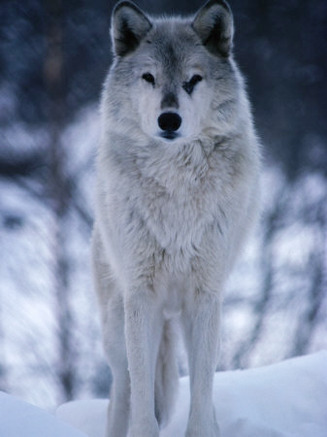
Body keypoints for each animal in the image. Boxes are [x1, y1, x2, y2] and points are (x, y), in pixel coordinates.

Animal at [92, 0, 262, 434]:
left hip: (191, 318)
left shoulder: (205, 298)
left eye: (193, 80)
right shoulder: (141, 297)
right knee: (121, 392)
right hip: (116, 327)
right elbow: (141, 399)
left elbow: (201, 395)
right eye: (149, 78)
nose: (169, 120)